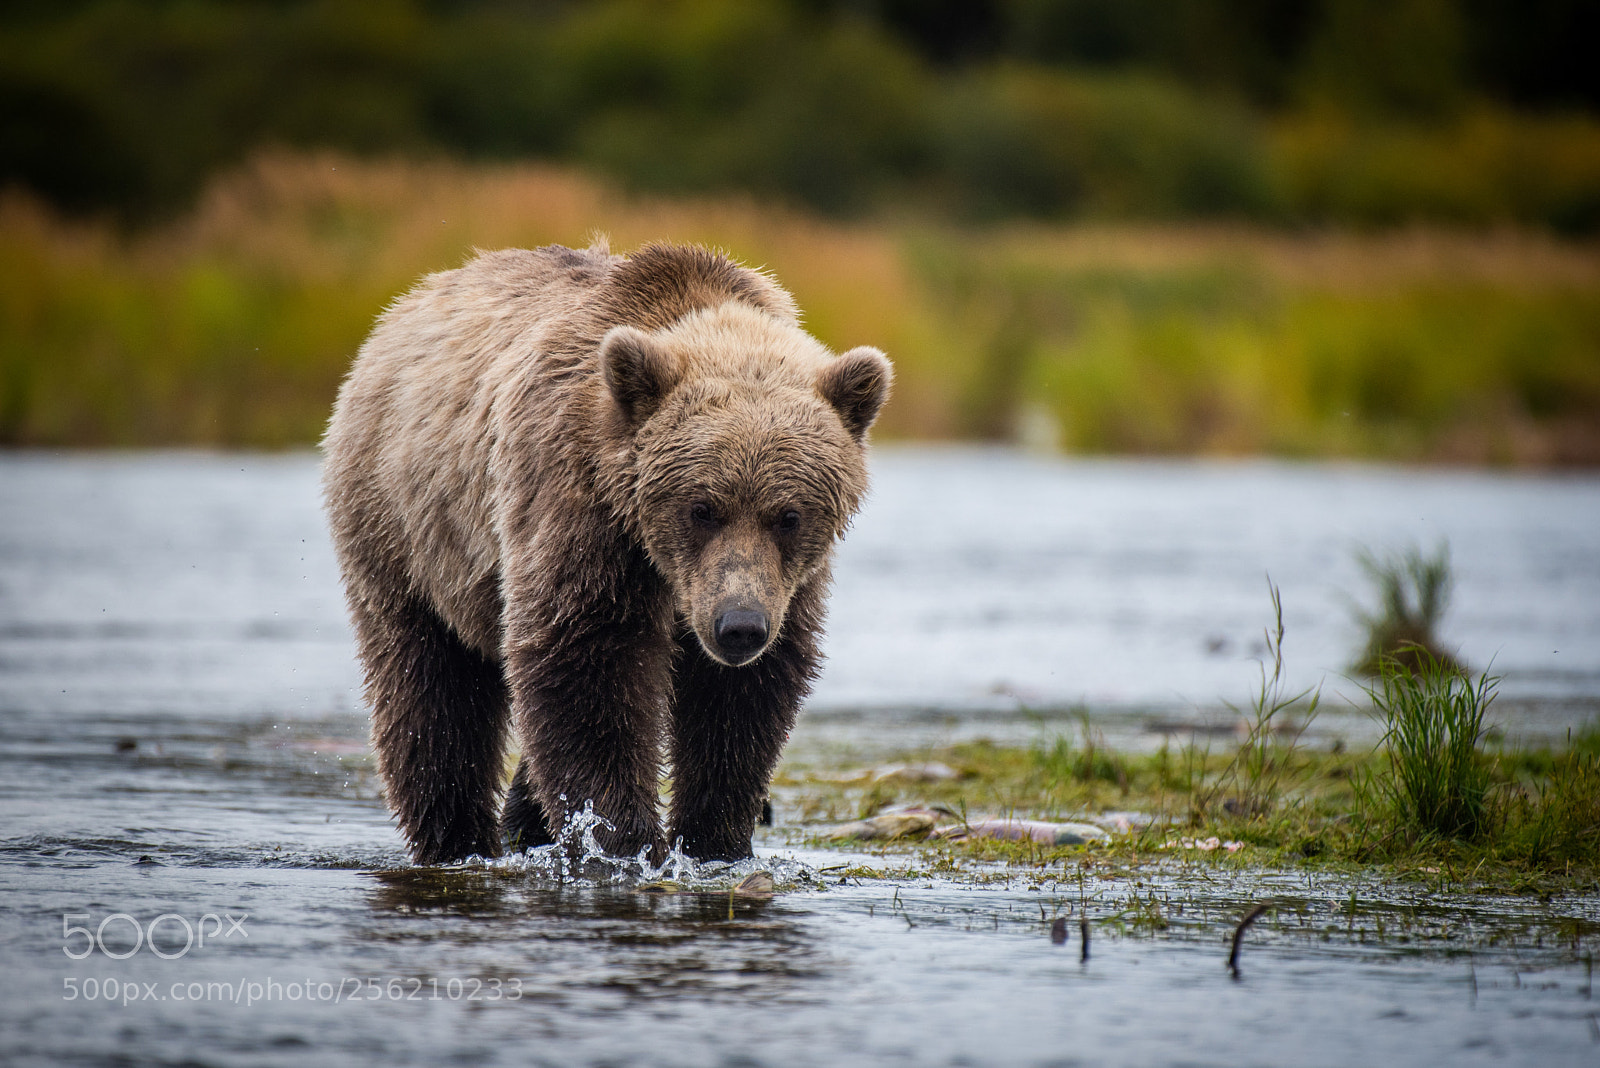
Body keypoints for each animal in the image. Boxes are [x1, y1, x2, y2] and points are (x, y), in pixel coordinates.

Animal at [321, 240, 891, 866]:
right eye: (701, 508)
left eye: (788, 516)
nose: (738, 626)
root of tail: (399, 312)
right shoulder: (578, 506)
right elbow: (584, 662)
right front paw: (626, 841)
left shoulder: (784, 587)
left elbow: (741, 700)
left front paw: (714, 838)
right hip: (405, 529)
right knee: (431, 686)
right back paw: (457, 837)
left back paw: (523, 820)